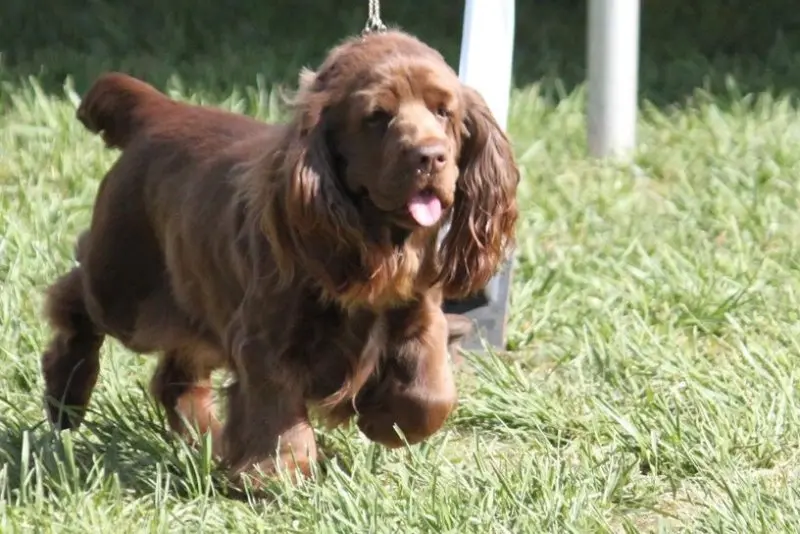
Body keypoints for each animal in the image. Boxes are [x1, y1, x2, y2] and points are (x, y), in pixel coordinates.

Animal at [40, 31, 520, 488]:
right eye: (377, 117)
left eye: (444, 112)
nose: (432, 157)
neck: (378, 242)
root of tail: (160, 112)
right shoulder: (265, 337)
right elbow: (276, 408)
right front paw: (276, 474)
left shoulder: (419, 312)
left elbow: (431, 395)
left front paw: (382, 419)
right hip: (126, 288)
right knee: (75, 293)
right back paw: (66, 394)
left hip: (197, 300)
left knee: (175, 374)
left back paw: (209, 441)